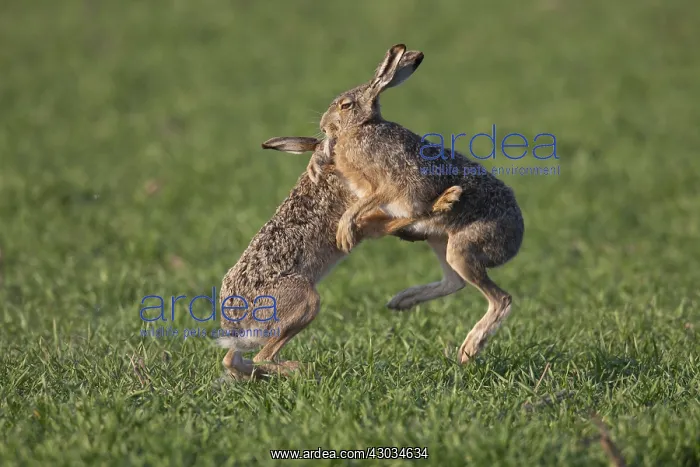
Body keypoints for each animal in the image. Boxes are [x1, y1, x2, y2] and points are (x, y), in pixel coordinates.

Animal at [217, 135, 464, 380]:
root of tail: (235, 319)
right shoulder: (367, 221)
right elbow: (408, 215)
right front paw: (446, 199)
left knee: (232, 358)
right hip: (306, 301)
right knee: (263, 355)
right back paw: (302, 369)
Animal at [315, 44, 525, 365]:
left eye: (346, 105)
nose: (323, 127)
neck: (363, 128)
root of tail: (516, 240)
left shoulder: (387, 185)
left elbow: (366, 202)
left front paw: (345, 232)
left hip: (464, 247)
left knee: (501, 299)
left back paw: (469, 349)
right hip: (440, 241)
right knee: (454, 282)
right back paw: (402, 300)